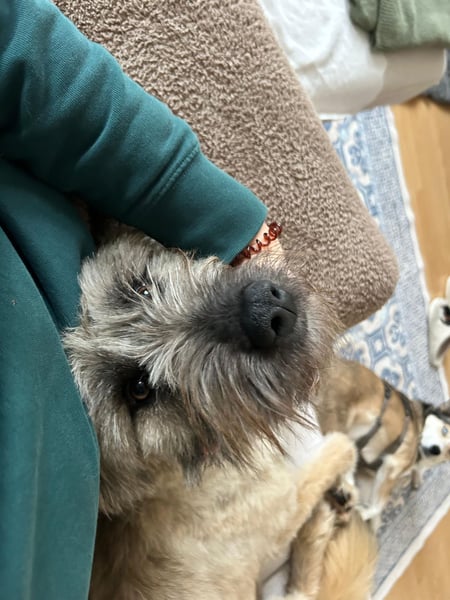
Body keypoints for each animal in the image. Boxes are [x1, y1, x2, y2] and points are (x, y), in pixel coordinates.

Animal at [64, 230, 376, 599]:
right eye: (139, 389)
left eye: (142, 288)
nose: (264, 310)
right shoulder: (285, 507)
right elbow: (331, 454)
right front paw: (341, 463)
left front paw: (344, 489)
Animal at [316, 358, 450, 528]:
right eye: (444, 430)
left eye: (449, 452)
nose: (435, 450)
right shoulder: (391, 467)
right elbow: (377, 507)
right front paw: (362, 511)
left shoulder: (369, 479)